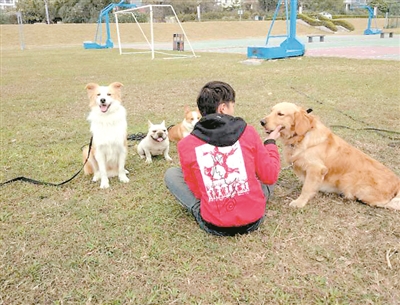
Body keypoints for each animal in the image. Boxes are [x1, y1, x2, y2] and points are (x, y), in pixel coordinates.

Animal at [260, 102, 398, 209]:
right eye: (271, 111)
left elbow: (306, 188)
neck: (302, 136)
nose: (261, 121)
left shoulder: (316, 168)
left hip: (357, 187)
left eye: (280, 114)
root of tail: (397, 185)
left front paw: (299, 202)